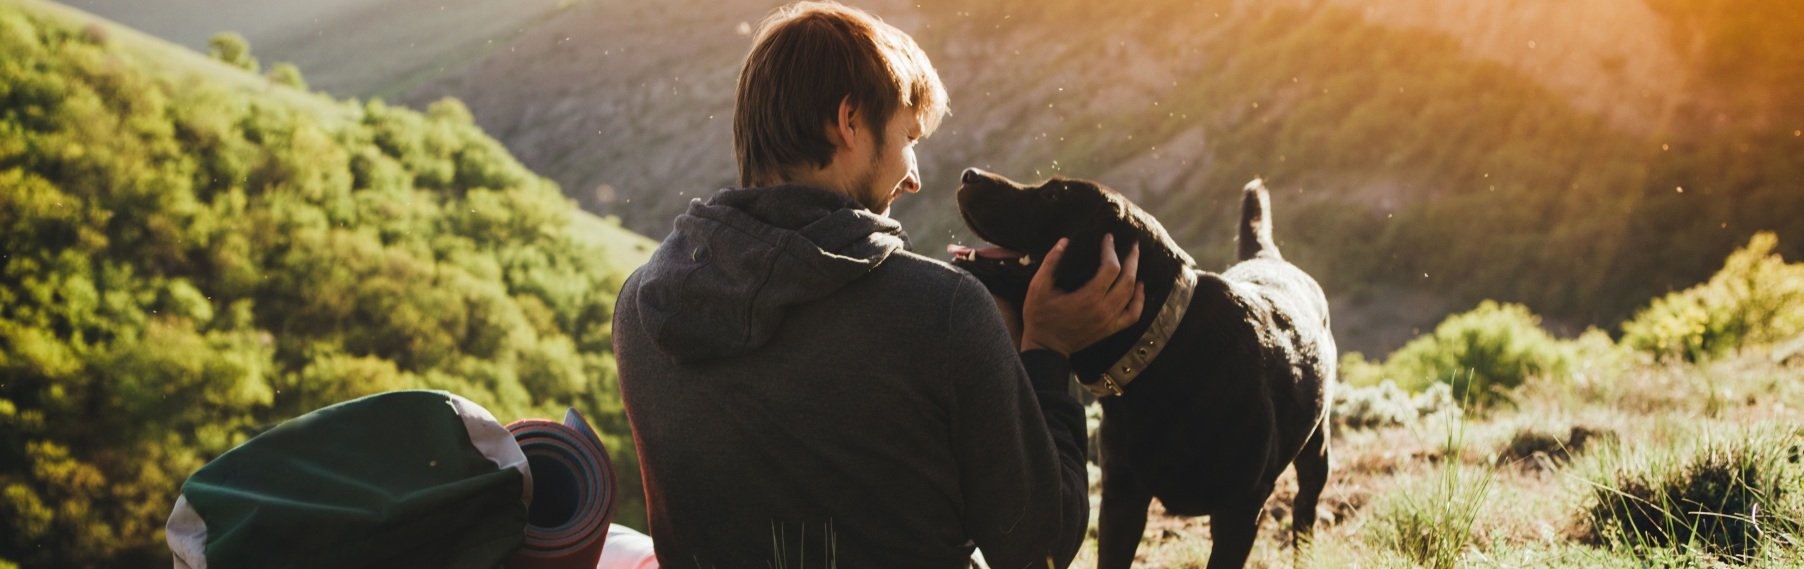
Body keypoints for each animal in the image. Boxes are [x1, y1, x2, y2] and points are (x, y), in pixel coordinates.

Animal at [952, 169, 1334, 569]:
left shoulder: (1240, 508)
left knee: (1304, 510)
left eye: (1054, 195)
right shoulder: (1122, 499)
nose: (969, 175)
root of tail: (1268, 258)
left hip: (1316, 450)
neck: (1161, 352)